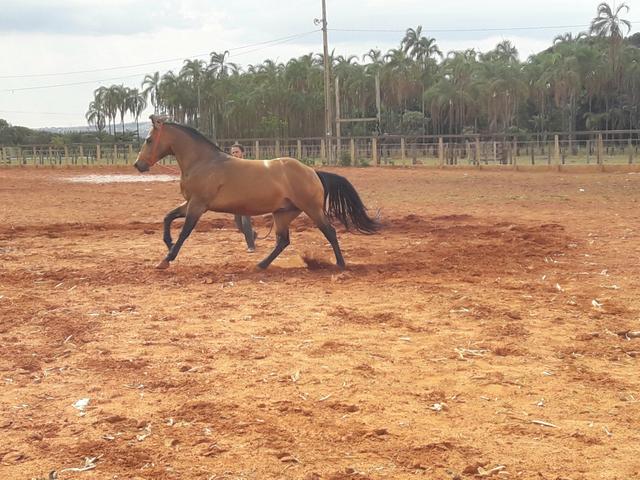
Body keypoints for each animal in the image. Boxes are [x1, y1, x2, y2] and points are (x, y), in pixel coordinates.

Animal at [134, 115, 379, 270]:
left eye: (148, 139)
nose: (138, 165)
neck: (204, 162)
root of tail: (312, 172)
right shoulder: (190, 203)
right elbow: (168, 217)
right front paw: (167, 244)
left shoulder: (198, 205)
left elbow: (185, 232)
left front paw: (167, 258)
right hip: (284, 213)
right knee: (283, 241)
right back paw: (261, 264)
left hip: (312, 209)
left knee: (329, 232)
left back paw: (340, 264)